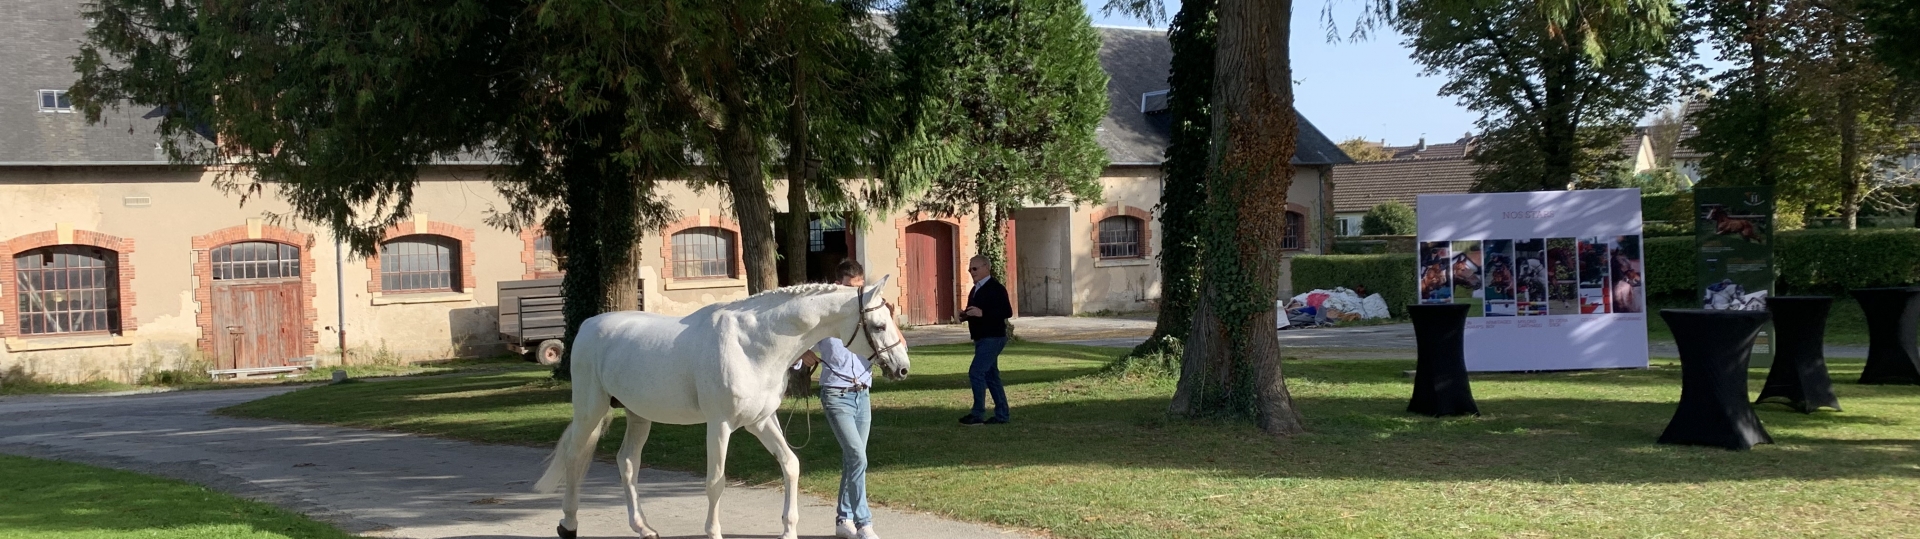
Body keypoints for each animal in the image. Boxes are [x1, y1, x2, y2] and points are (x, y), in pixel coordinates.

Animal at [533, 278, 906, 533]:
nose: (902, 368)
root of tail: (586, 326)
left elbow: (791, 465)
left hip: (638, 414)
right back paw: (568, 524)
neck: (752, 344)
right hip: (590, 409)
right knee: (574, 457)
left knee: (627, 462)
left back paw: (643, 528)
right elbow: (715, 482)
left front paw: (788, 529)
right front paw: (713, 532)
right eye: (879, 325)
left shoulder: (761, 421)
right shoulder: (720, 425)